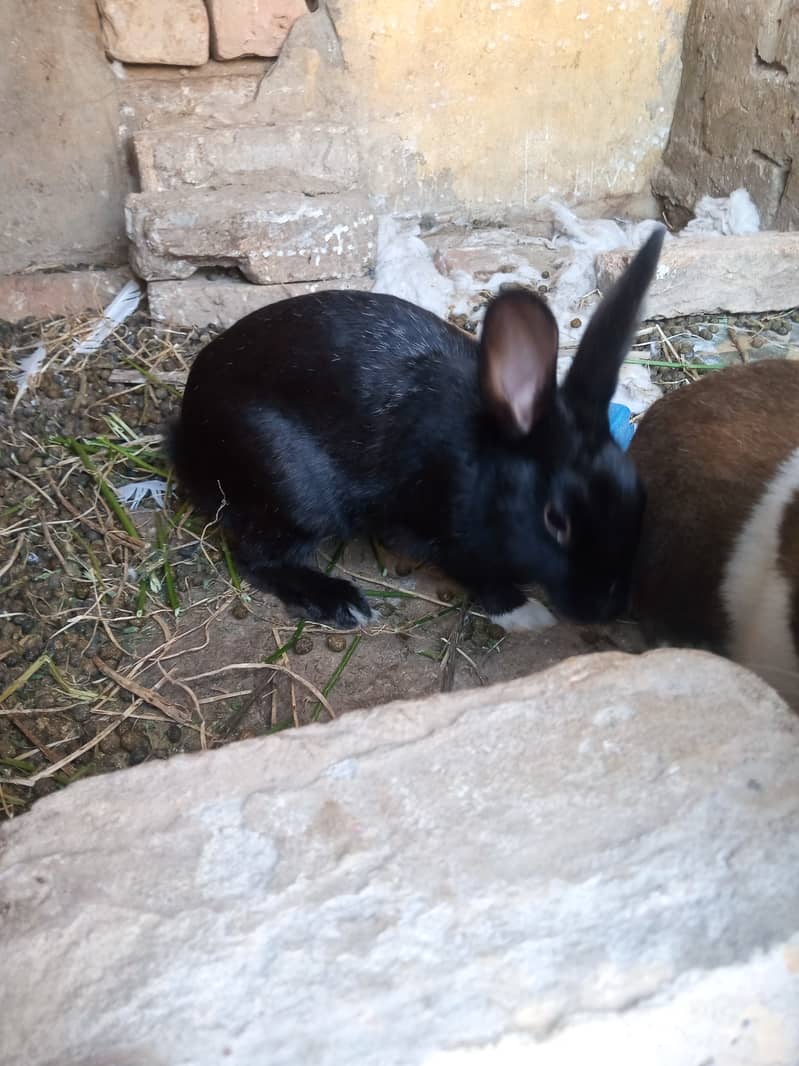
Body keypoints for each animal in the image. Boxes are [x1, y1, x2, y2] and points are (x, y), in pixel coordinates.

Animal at [169, 227, 665, 630]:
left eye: (640, 496)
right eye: (555, 520)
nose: (606, 608)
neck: (484, 466)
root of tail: (188, 427)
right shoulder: (446, 536)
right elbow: (478, 576)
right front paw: (526, 614)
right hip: (291, 491)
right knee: (256, 558)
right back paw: (341, 603)